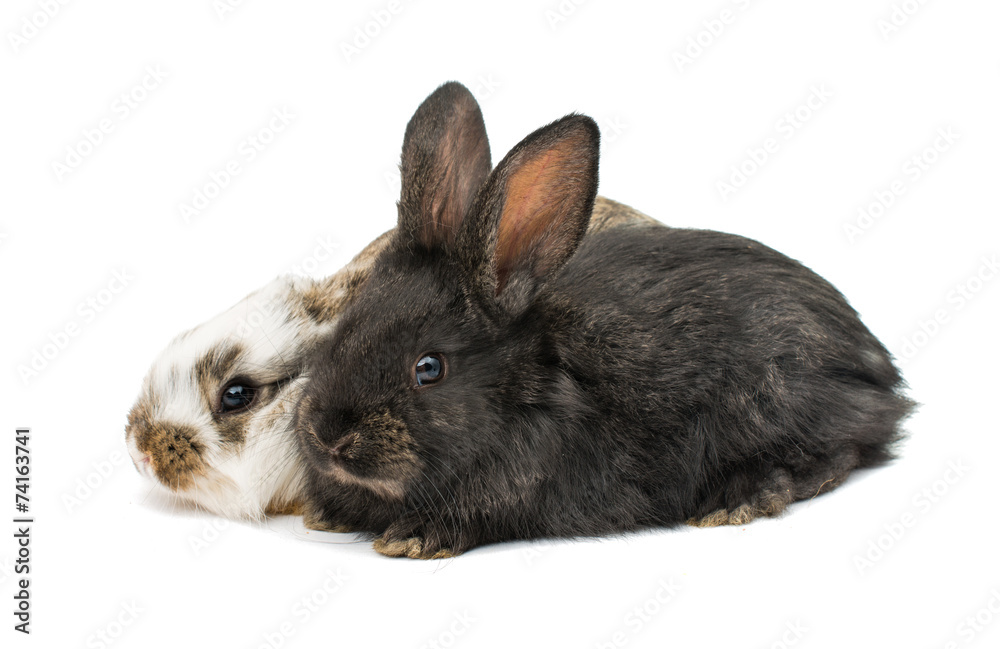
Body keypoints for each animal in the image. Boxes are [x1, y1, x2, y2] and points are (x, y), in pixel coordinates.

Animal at [293, 81, 915, 559]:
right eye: (343, 328)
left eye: (429, 368)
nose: (327, 435)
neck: (535, 387)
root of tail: (881, 371)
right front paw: (328, 518)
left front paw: (412, 538)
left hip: (779, 401)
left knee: (842, 451)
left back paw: (743, 495)